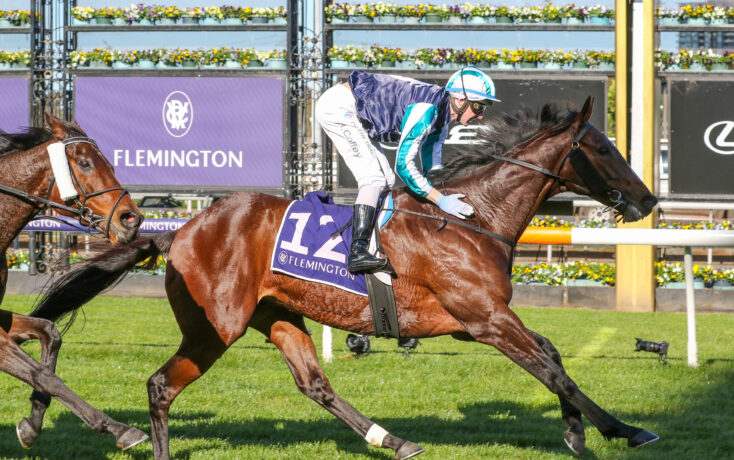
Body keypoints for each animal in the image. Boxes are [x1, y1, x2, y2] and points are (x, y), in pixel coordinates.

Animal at [0, 114, 150, 450]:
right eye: (84, 163)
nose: (131, 219)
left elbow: (49, 333)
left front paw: (32, 422)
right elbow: (45, 375)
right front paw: (120, 428)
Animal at [31, 98, 660, 460]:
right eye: (603, 147)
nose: (649, 199)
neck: (473, 217)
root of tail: (181, 231)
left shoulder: (479, 320)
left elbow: (551, 356)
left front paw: (578, 433)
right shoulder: (484, 318)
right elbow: (551, 368)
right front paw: (625, 430)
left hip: (277, 314)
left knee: (315, 384)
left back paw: (393, 439)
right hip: (217, 326)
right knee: (162, 385)